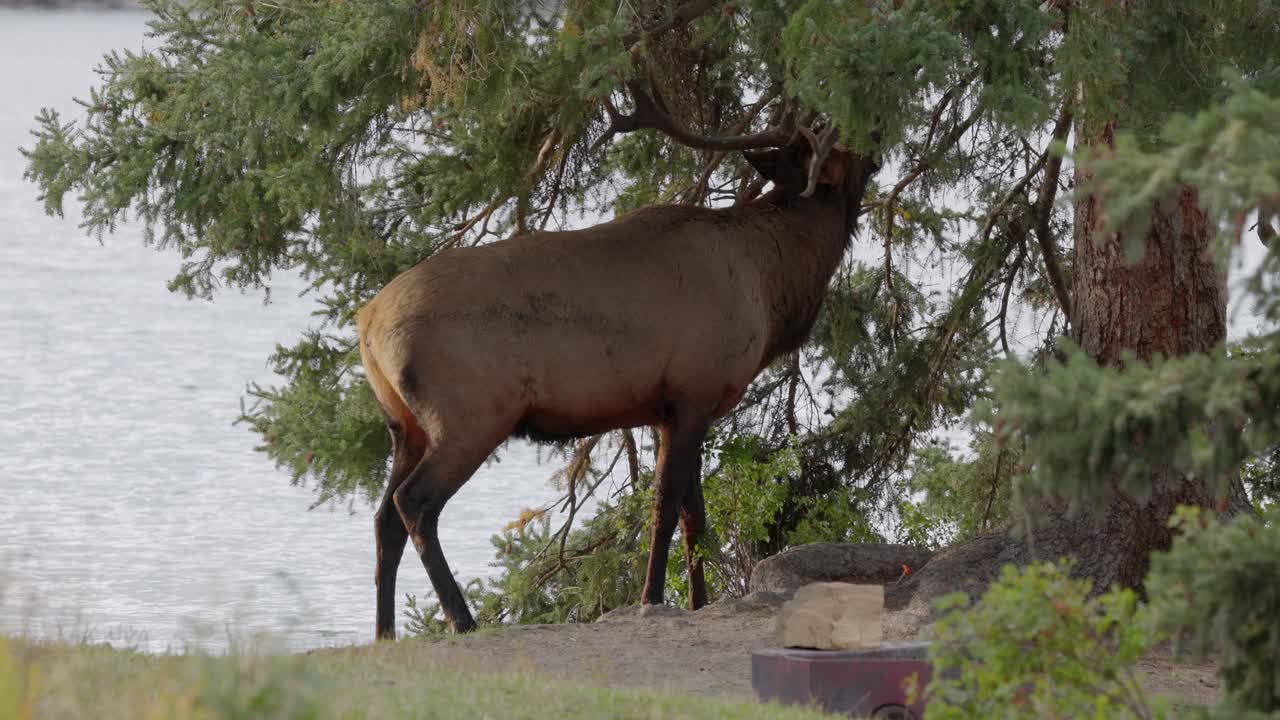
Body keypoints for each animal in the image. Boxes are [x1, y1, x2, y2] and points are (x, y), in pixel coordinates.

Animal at [356, 81, 880, 638]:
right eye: (842, 148)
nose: (877, 144)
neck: (774, 283)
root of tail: (366, 322)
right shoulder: (692, 393)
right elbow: (666, 506)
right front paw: (652, 596)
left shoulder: (674, 408)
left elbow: (695, 513)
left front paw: (700, 600)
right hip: (470, 415)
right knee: (414, 504)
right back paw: (462, 619)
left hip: (404, 424)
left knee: (383, 518)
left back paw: (384, 632)